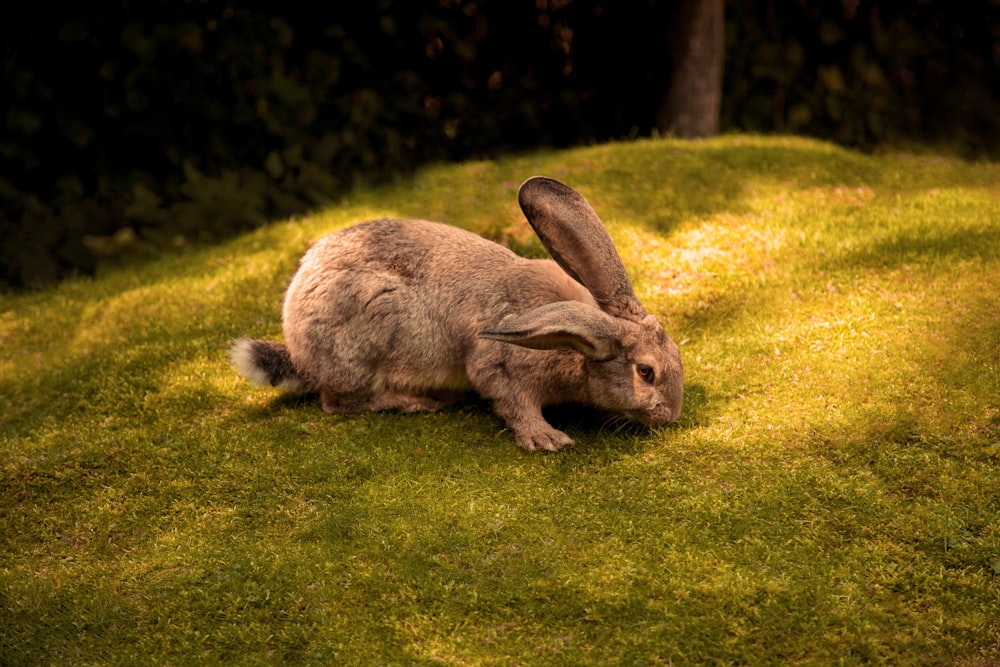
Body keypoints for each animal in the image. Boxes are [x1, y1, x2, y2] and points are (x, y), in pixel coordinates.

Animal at [230, 176, 684, 454]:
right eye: (646, 372)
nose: (671, 416)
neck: (576, 341)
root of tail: (299, 349)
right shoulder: (501, 368)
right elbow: (513, 402)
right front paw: (547, 439)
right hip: (366, 334)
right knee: (338, 402)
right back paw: (416, 402)